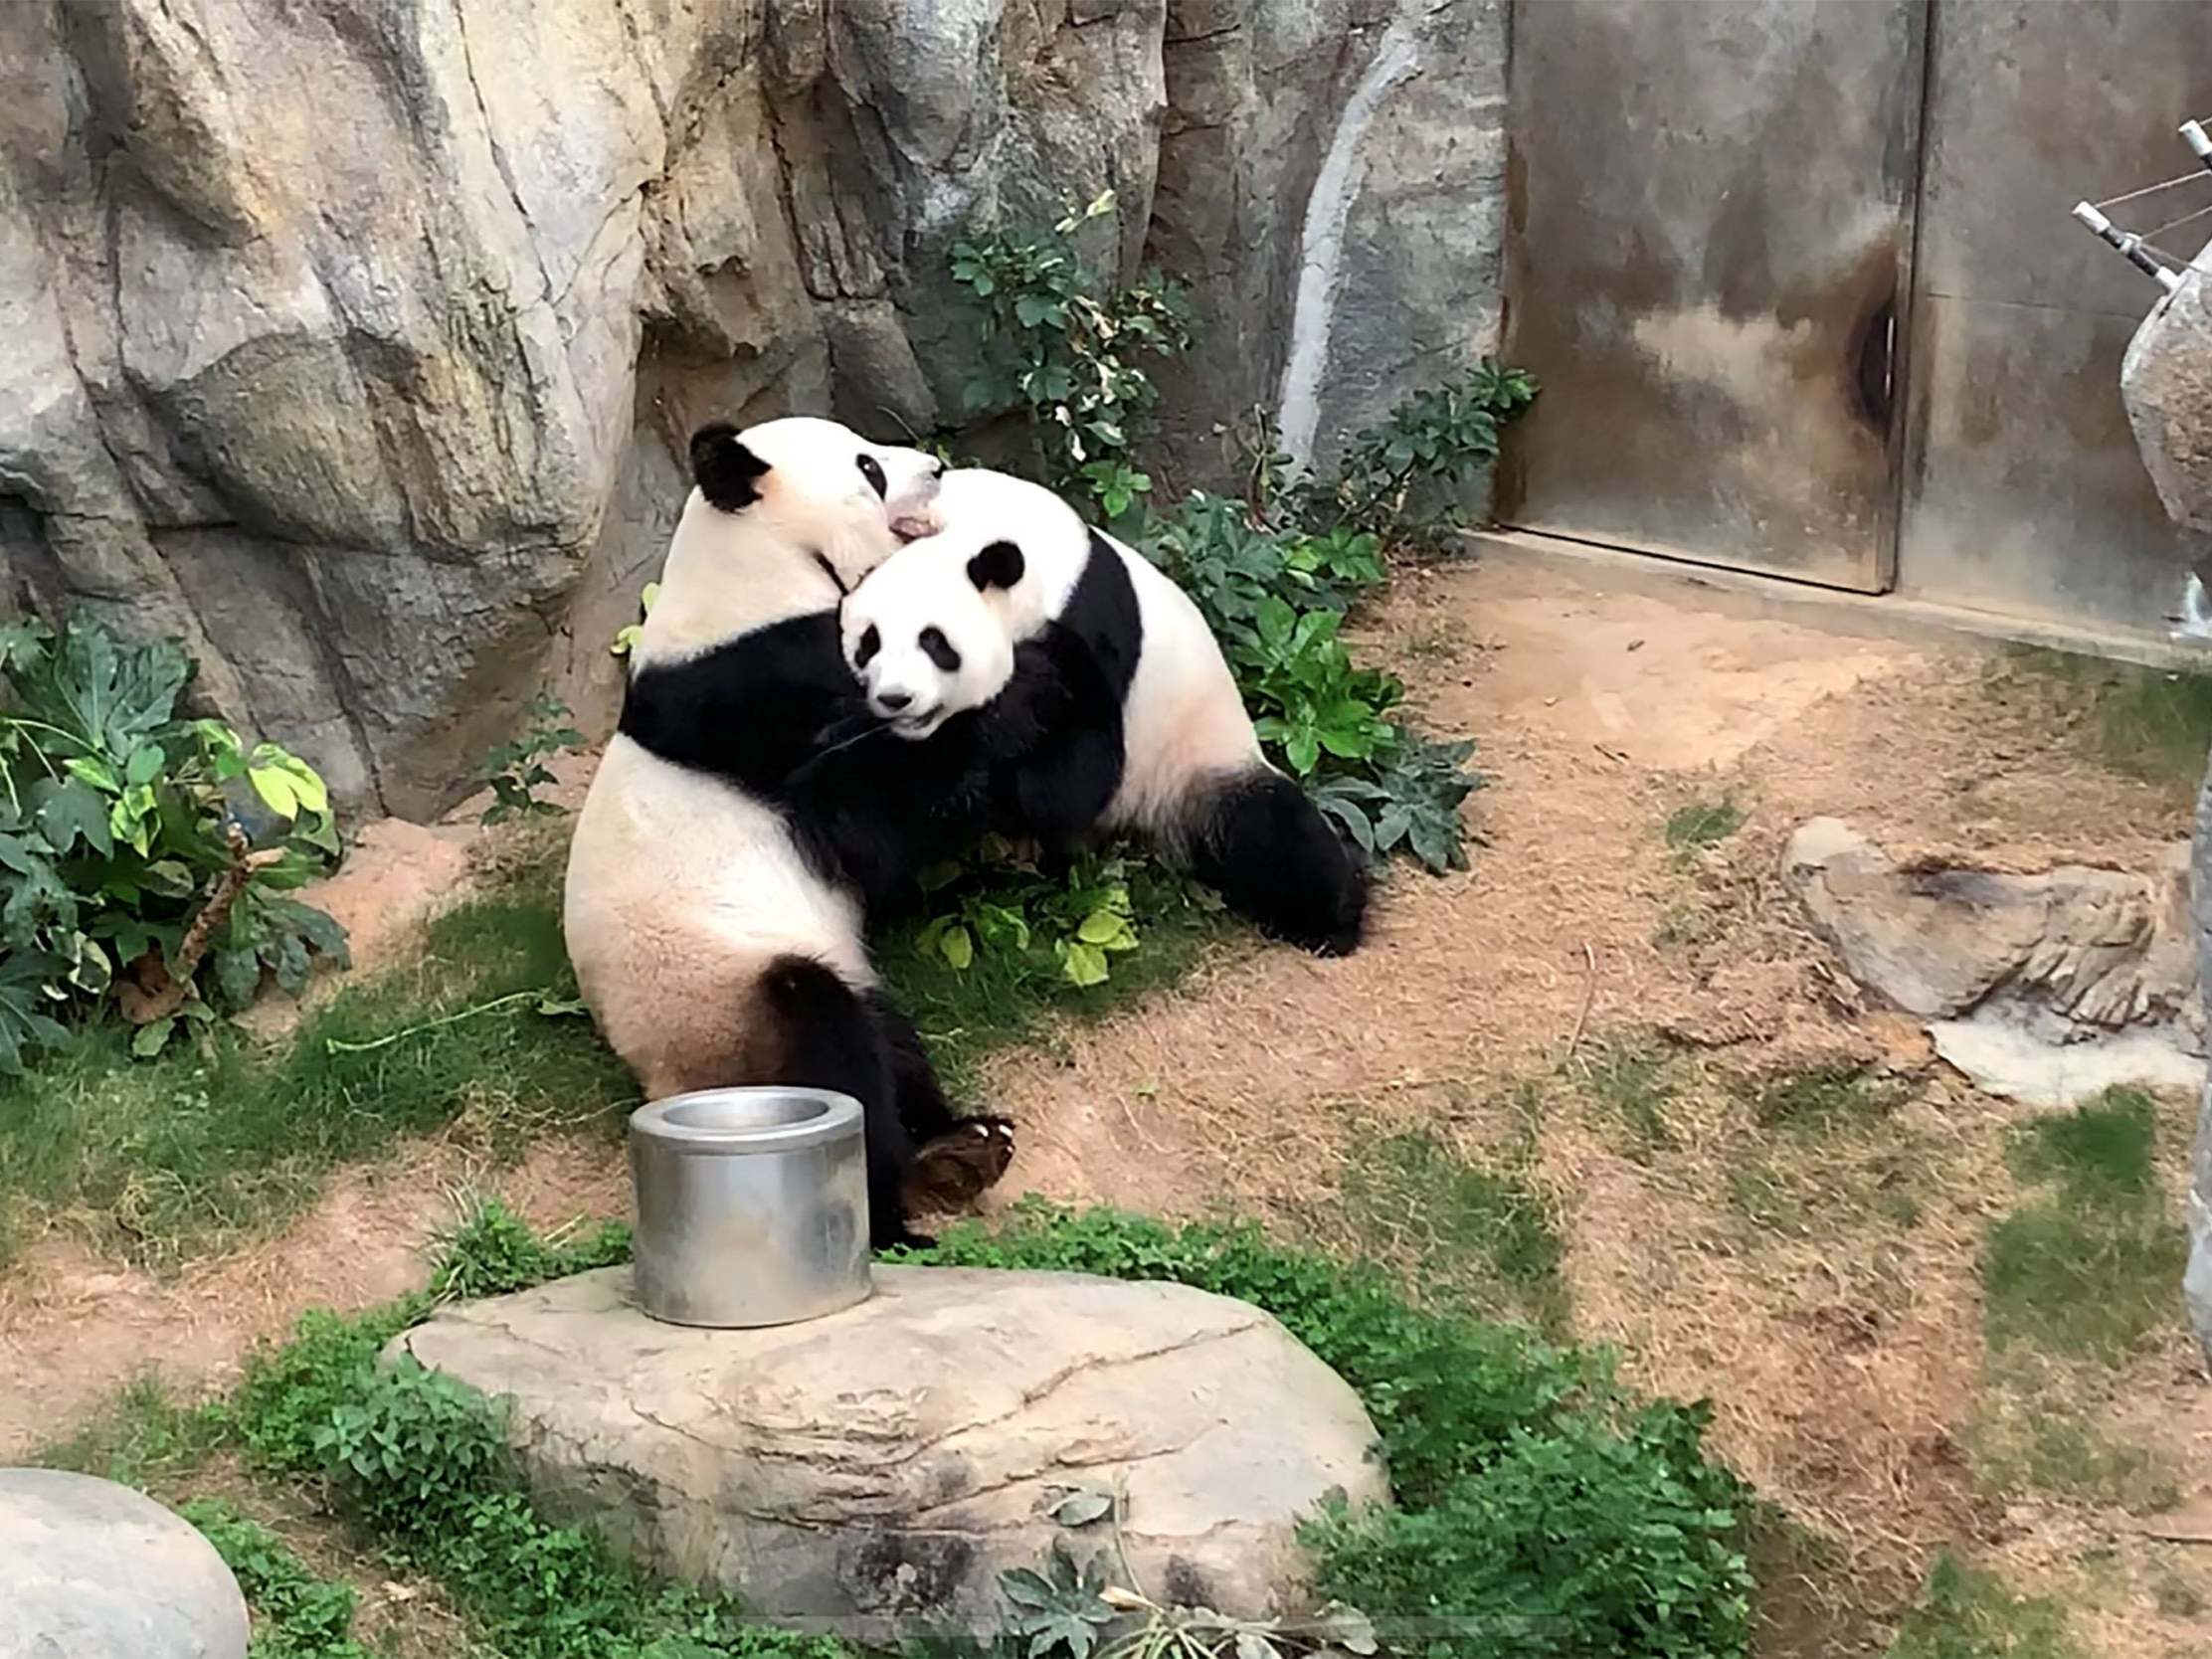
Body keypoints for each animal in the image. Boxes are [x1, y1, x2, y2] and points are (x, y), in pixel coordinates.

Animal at [570, 416, 1017, 1247]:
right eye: (869, 468)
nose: (936, 469)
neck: (756, 568)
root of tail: (661, 1082)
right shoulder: (758, 695)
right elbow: (866, 821)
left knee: (887, 1038)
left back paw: (960, 1145)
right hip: (722, 1001)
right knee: (826, 1038)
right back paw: (896, 1204)